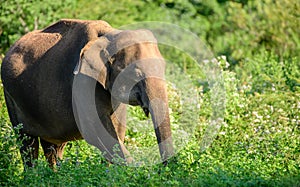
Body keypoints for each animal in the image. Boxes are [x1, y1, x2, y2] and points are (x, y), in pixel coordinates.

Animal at [0, 19, 173, 168]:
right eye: (136, 73)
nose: (162, 170)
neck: (109, 34)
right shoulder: (82, 82)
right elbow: (95, 130)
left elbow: (117, 130)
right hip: (11, 98)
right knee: (26, 142)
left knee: (53, 146)